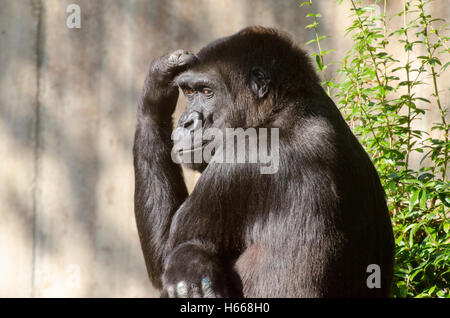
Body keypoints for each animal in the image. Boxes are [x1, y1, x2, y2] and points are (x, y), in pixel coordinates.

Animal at [134, 26, 394, 296]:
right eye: (189, 92)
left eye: (207, 92)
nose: (187, 121)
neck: (281, 108)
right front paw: (162, 76)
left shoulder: (239, 160)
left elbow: (165, 254)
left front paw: (154, 97)